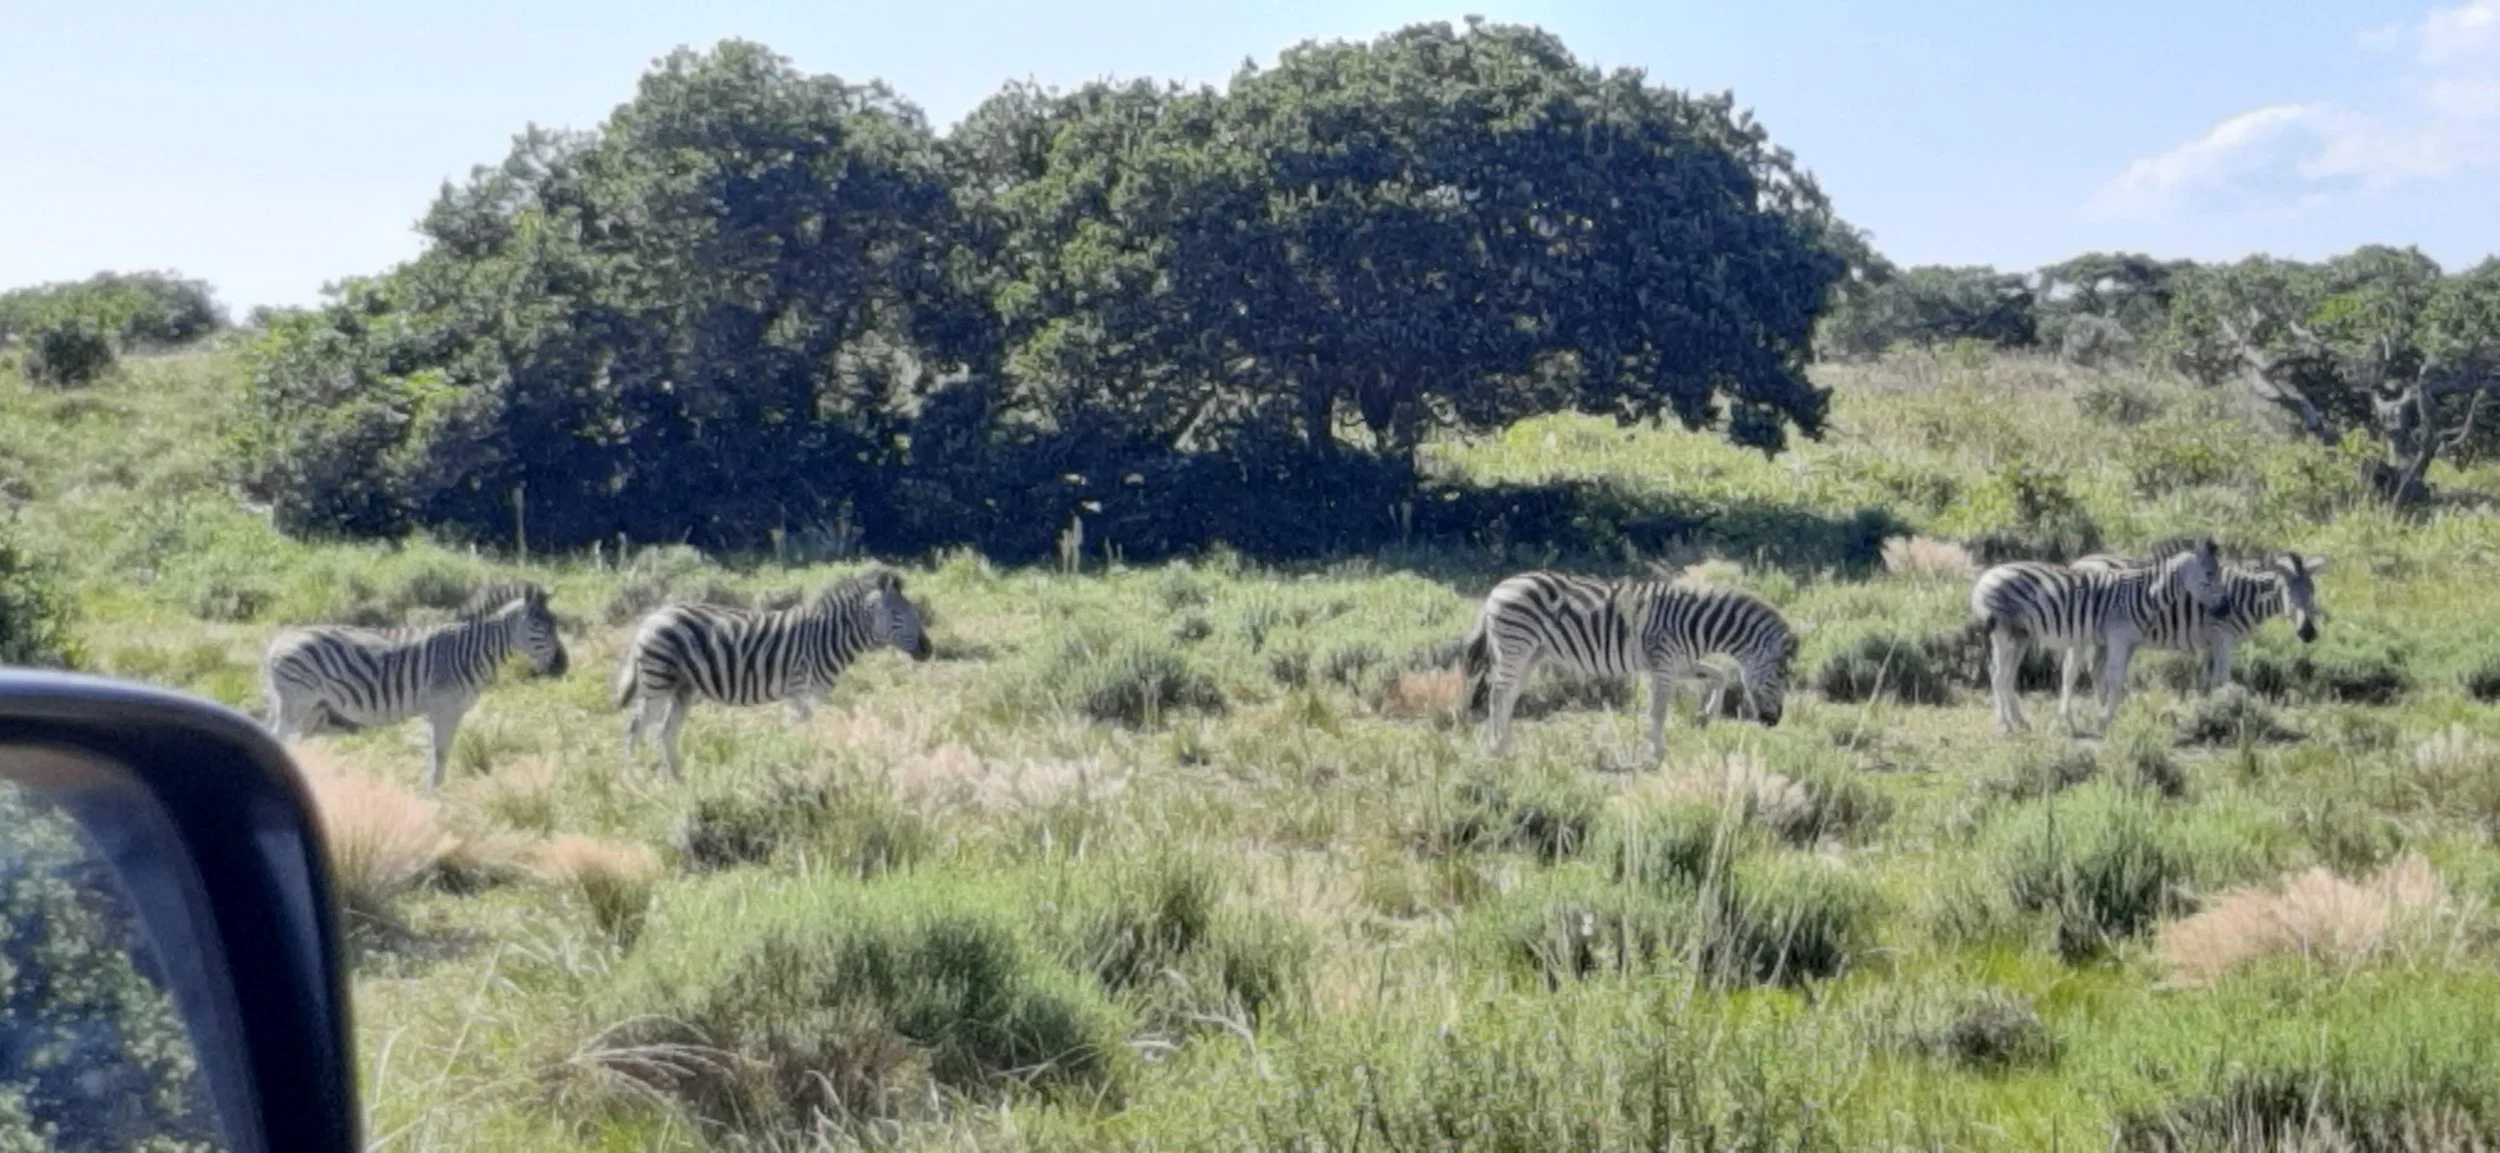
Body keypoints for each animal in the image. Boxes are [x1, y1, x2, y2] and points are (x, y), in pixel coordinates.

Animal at [262, 581, 569, 792]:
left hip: (301, 706)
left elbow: (438, 752)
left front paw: (433, 790)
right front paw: (436, 794)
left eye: (555, 624)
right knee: (279, 738)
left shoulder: (443, 710)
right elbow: (440, 752)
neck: (470, 651)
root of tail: (278, 642)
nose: (562, 666)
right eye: (540, 627)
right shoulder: (444, 707)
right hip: (297, 702)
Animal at [613, 568, 933, 780]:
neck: (826, 637)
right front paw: (801, 765)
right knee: (635, 726)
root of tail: (652, 617)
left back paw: (679, 781)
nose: (928, 650)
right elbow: (801, 733)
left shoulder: (813, 695)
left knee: (664, 731)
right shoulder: (801, 691)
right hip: (658, 680)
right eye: (899, 615)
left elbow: (809, 731)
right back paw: (630, 781)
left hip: (682, 687)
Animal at [1461, 570, 1796, 763]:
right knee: (1498, 694)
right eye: (1779, 676)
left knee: (1509, 693)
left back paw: (1506, 745)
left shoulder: (1678, 663)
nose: (1774, 721)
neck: (1696, 623)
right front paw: (1654, 756)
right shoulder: (1663, 663)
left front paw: (1705, 716)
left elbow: (1720, 674)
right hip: (1516, 644)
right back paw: (1496, 748)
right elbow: (1658, 711)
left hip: (1532, 651)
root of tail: (1499, 587)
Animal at [1967, 538, 2229, 735]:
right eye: (2209, 575)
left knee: (2005, 674)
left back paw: (2019, 722)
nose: (2225, 609)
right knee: (1999, 675)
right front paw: (2104, 721)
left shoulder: (2123, 641)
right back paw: (2006, 725)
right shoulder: (2117, 638)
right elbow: (2114, 680)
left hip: (2020, 635)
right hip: (2004, 631)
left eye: (2217, 573)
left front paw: (2106, 717)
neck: (2142, 595)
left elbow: (2108, 678)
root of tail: (1984, 578)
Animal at [2064, 546, 2328, 693]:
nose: (2308, 633)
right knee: (2071, 669)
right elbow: (2222, 679)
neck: (2245, 596)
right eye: (2287, 593)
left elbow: (2210, 679)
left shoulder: (2213, 641)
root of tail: (2078, 562)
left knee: (2094, 670)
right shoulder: (2222, 637)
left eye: (2312, 592)